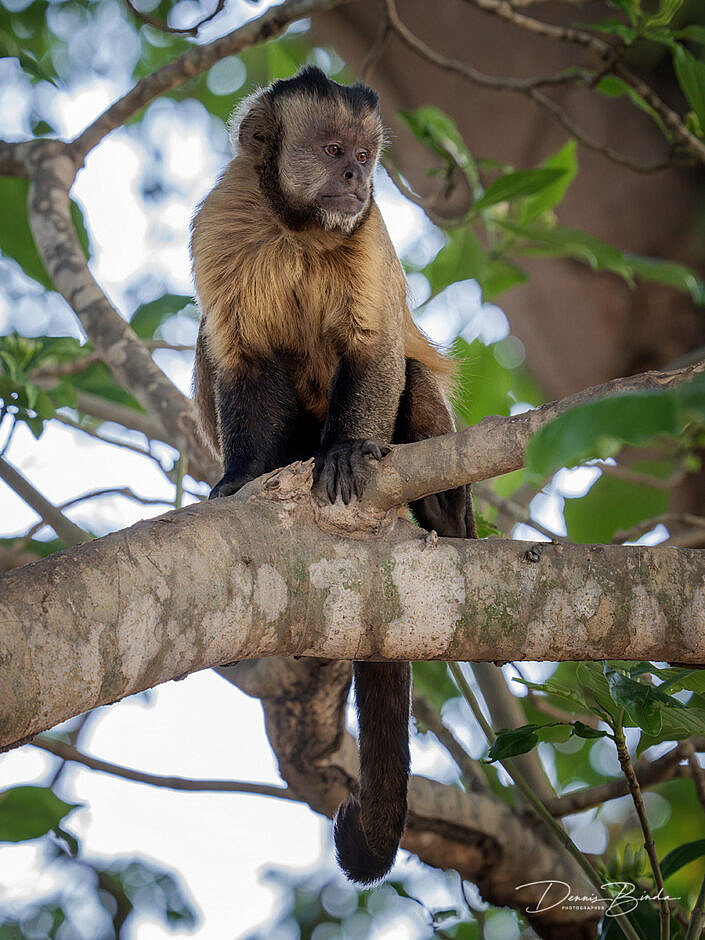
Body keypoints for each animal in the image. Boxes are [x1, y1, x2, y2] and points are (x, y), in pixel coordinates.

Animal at [190, 68, 472, 888]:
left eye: (365, 156)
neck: (300, 227)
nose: (356, 178)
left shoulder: (367, 233)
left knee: (412, 375)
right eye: (332, 151)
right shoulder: (223, 221)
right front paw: (240, 478)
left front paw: (346, 449)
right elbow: (240, 360)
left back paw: (445, 513)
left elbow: (375, 352)